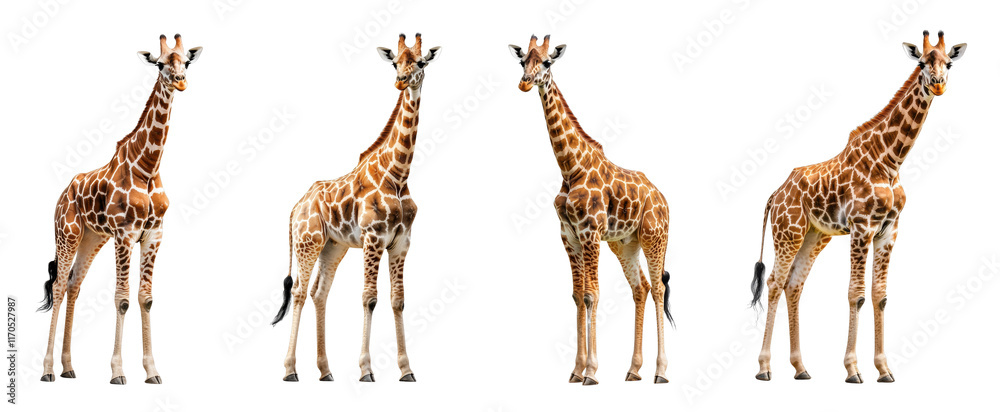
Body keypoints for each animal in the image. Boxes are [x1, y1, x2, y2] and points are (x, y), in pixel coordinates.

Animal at [37, 34, 203, 384]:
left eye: (186, 61)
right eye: (160, 64)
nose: (180, 81)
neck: (148, 166)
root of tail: (62, 195)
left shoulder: (153, 234)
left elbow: (146, 299)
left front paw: (152, 371)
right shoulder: (125, 234)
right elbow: (123, 299)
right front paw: (117, 372)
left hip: (92, 238)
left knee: (73, 285)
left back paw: (69, 367)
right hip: (67, 234)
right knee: (58, 286)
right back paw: (47, 370)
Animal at [270, 33, 440, 383]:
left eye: (421, 62)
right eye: (394, 62)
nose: (401, 81)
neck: (398, 173)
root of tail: (295, 207)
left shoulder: (401, 243)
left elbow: (398, 300)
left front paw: (406, 370)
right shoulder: (374, 238)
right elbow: (369, 298)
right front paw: (366, 369)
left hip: (333, 246)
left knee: (319, 293)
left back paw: (325, 371)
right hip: (307, 242)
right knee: (299, 293)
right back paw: (290, 369)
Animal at [509, 35, 673, 385]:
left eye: (547, 62)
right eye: (522, 61)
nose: (525, 83)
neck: (571, 168)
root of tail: (664, 199)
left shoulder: (590, 232)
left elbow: (591, 295)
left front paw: (592, 372)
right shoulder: (569, 235)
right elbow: (577, 294)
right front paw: (576, 370)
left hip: (654, 238)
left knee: (658, 288)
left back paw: (660, 371)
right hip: (625, 244)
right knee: (640, 288)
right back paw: (633, 369)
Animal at [749, 30, 966, 383]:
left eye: (949, 63)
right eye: (921, 62)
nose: (937, 84)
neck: (891, 161)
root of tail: (775, 194)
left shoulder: (889, 230)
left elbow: (880, 296)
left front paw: (884, 369)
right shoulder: (862, 227)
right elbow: (857, 294)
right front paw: (852, 369)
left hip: (814, 236)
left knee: (794, 285)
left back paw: (800, 367)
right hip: (788, 233)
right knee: (774, 283)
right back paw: (764, 368)